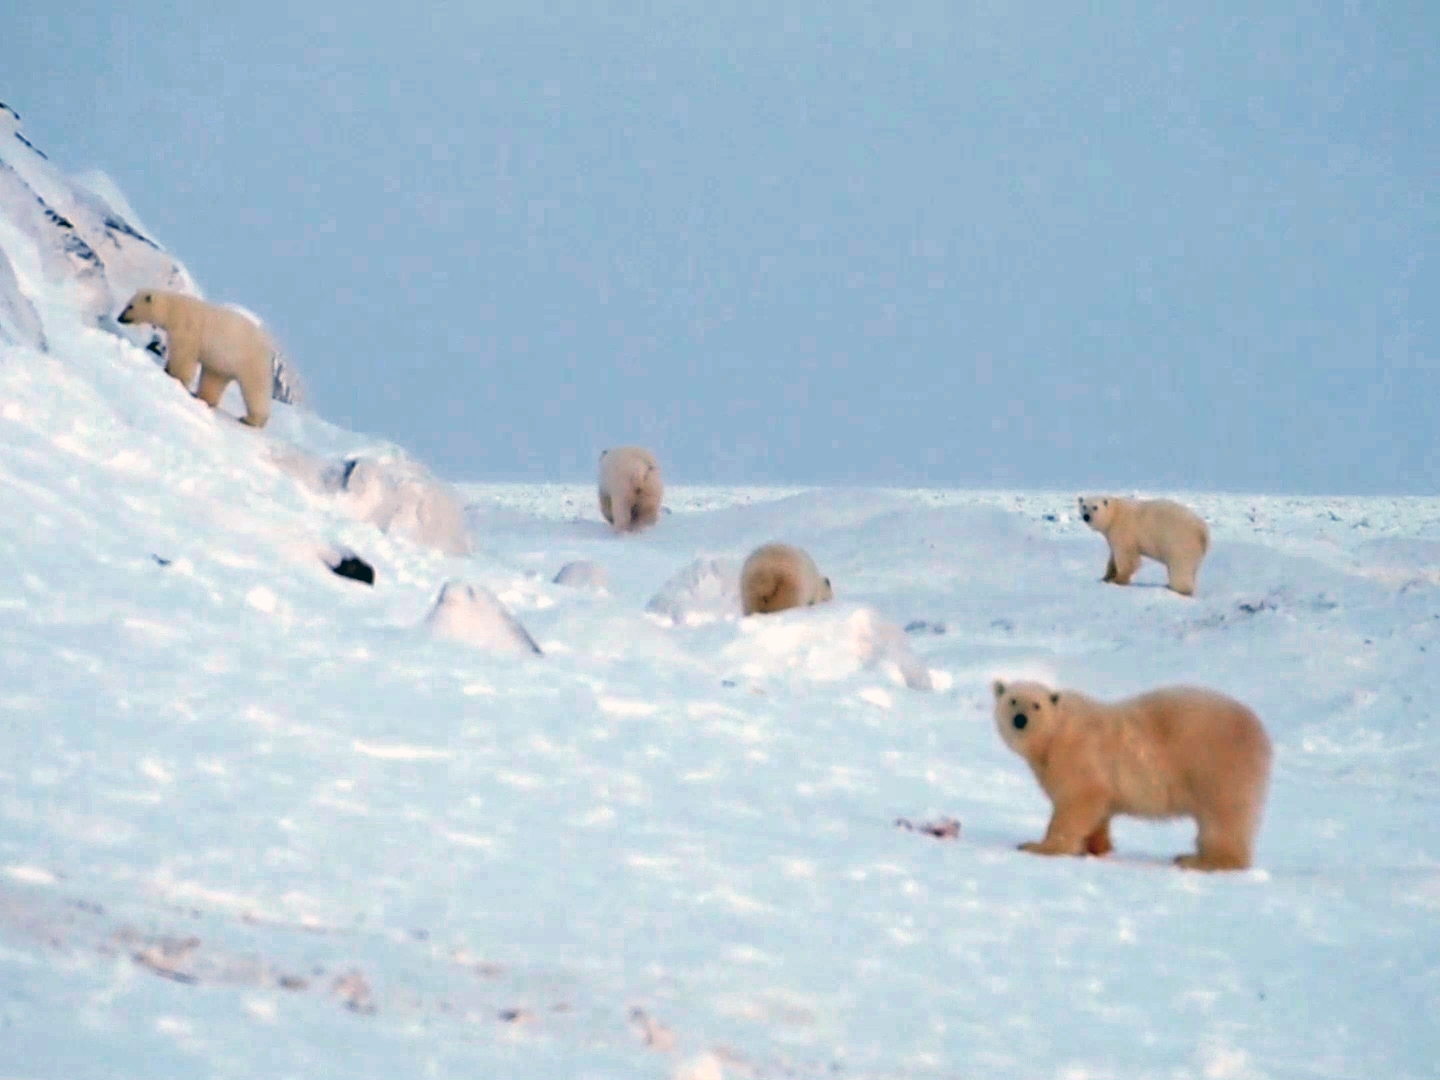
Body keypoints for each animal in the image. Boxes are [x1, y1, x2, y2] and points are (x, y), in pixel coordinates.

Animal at [118, 292, 275, 434]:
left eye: (130, 306)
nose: (120, 318)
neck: (174, 309)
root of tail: (269, 348)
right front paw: (167, 369)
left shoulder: (187, 330)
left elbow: (183, 357)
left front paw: (174, 376)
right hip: (221, 363)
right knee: (213, 379)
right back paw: (201, 396)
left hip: (249, 361)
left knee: (255, 389)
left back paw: (250, 419)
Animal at [990, 679, 1272, 875]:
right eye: (1012, 701)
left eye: (1036, 705)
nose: (1020, 719)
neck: (1055, 736)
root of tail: (1262, 733)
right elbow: (1099, 808)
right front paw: (1097, 846)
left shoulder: (1077, 753)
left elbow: (1078, 800)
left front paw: (1039, 846)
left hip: (1218, 767)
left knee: (1222, 817)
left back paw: (1199, 860)